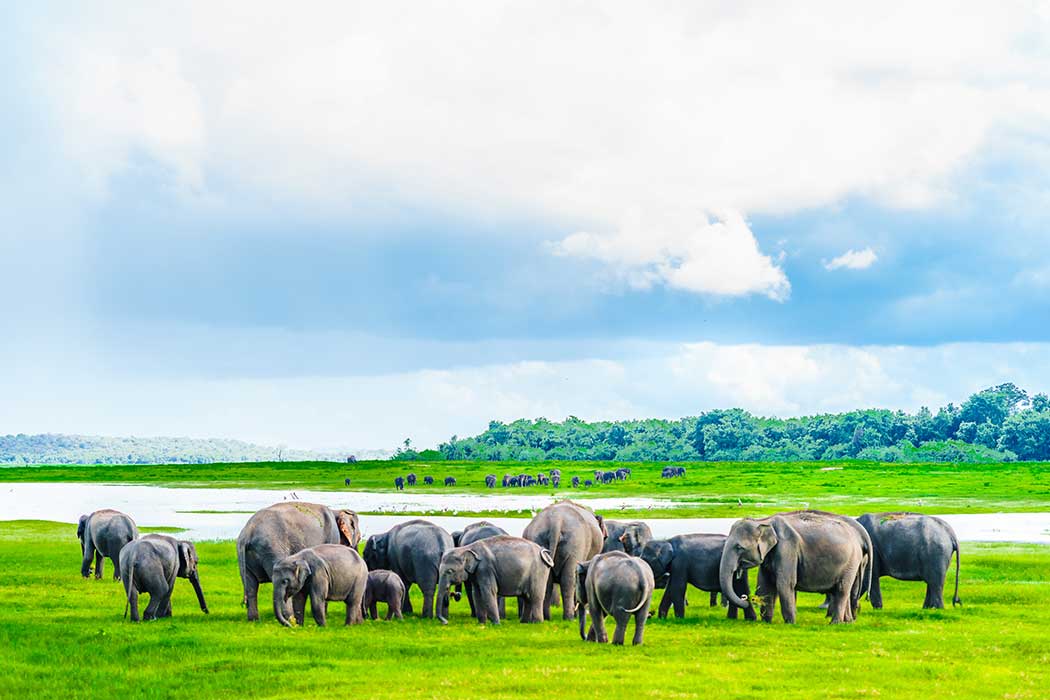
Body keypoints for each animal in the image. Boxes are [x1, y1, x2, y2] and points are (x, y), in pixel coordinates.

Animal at [719, 510, 870, 624]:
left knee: (842, 589)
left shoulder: (787, 547)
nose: (745, 598)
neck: (765, 521)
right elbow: (765, 585)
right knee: (845, 590)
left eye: (739, 547)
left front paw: (791, 623)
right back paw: (848, 622)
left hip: (851, 562)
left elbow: (785, 584)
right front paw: (766, 622)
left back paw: (835, 623)